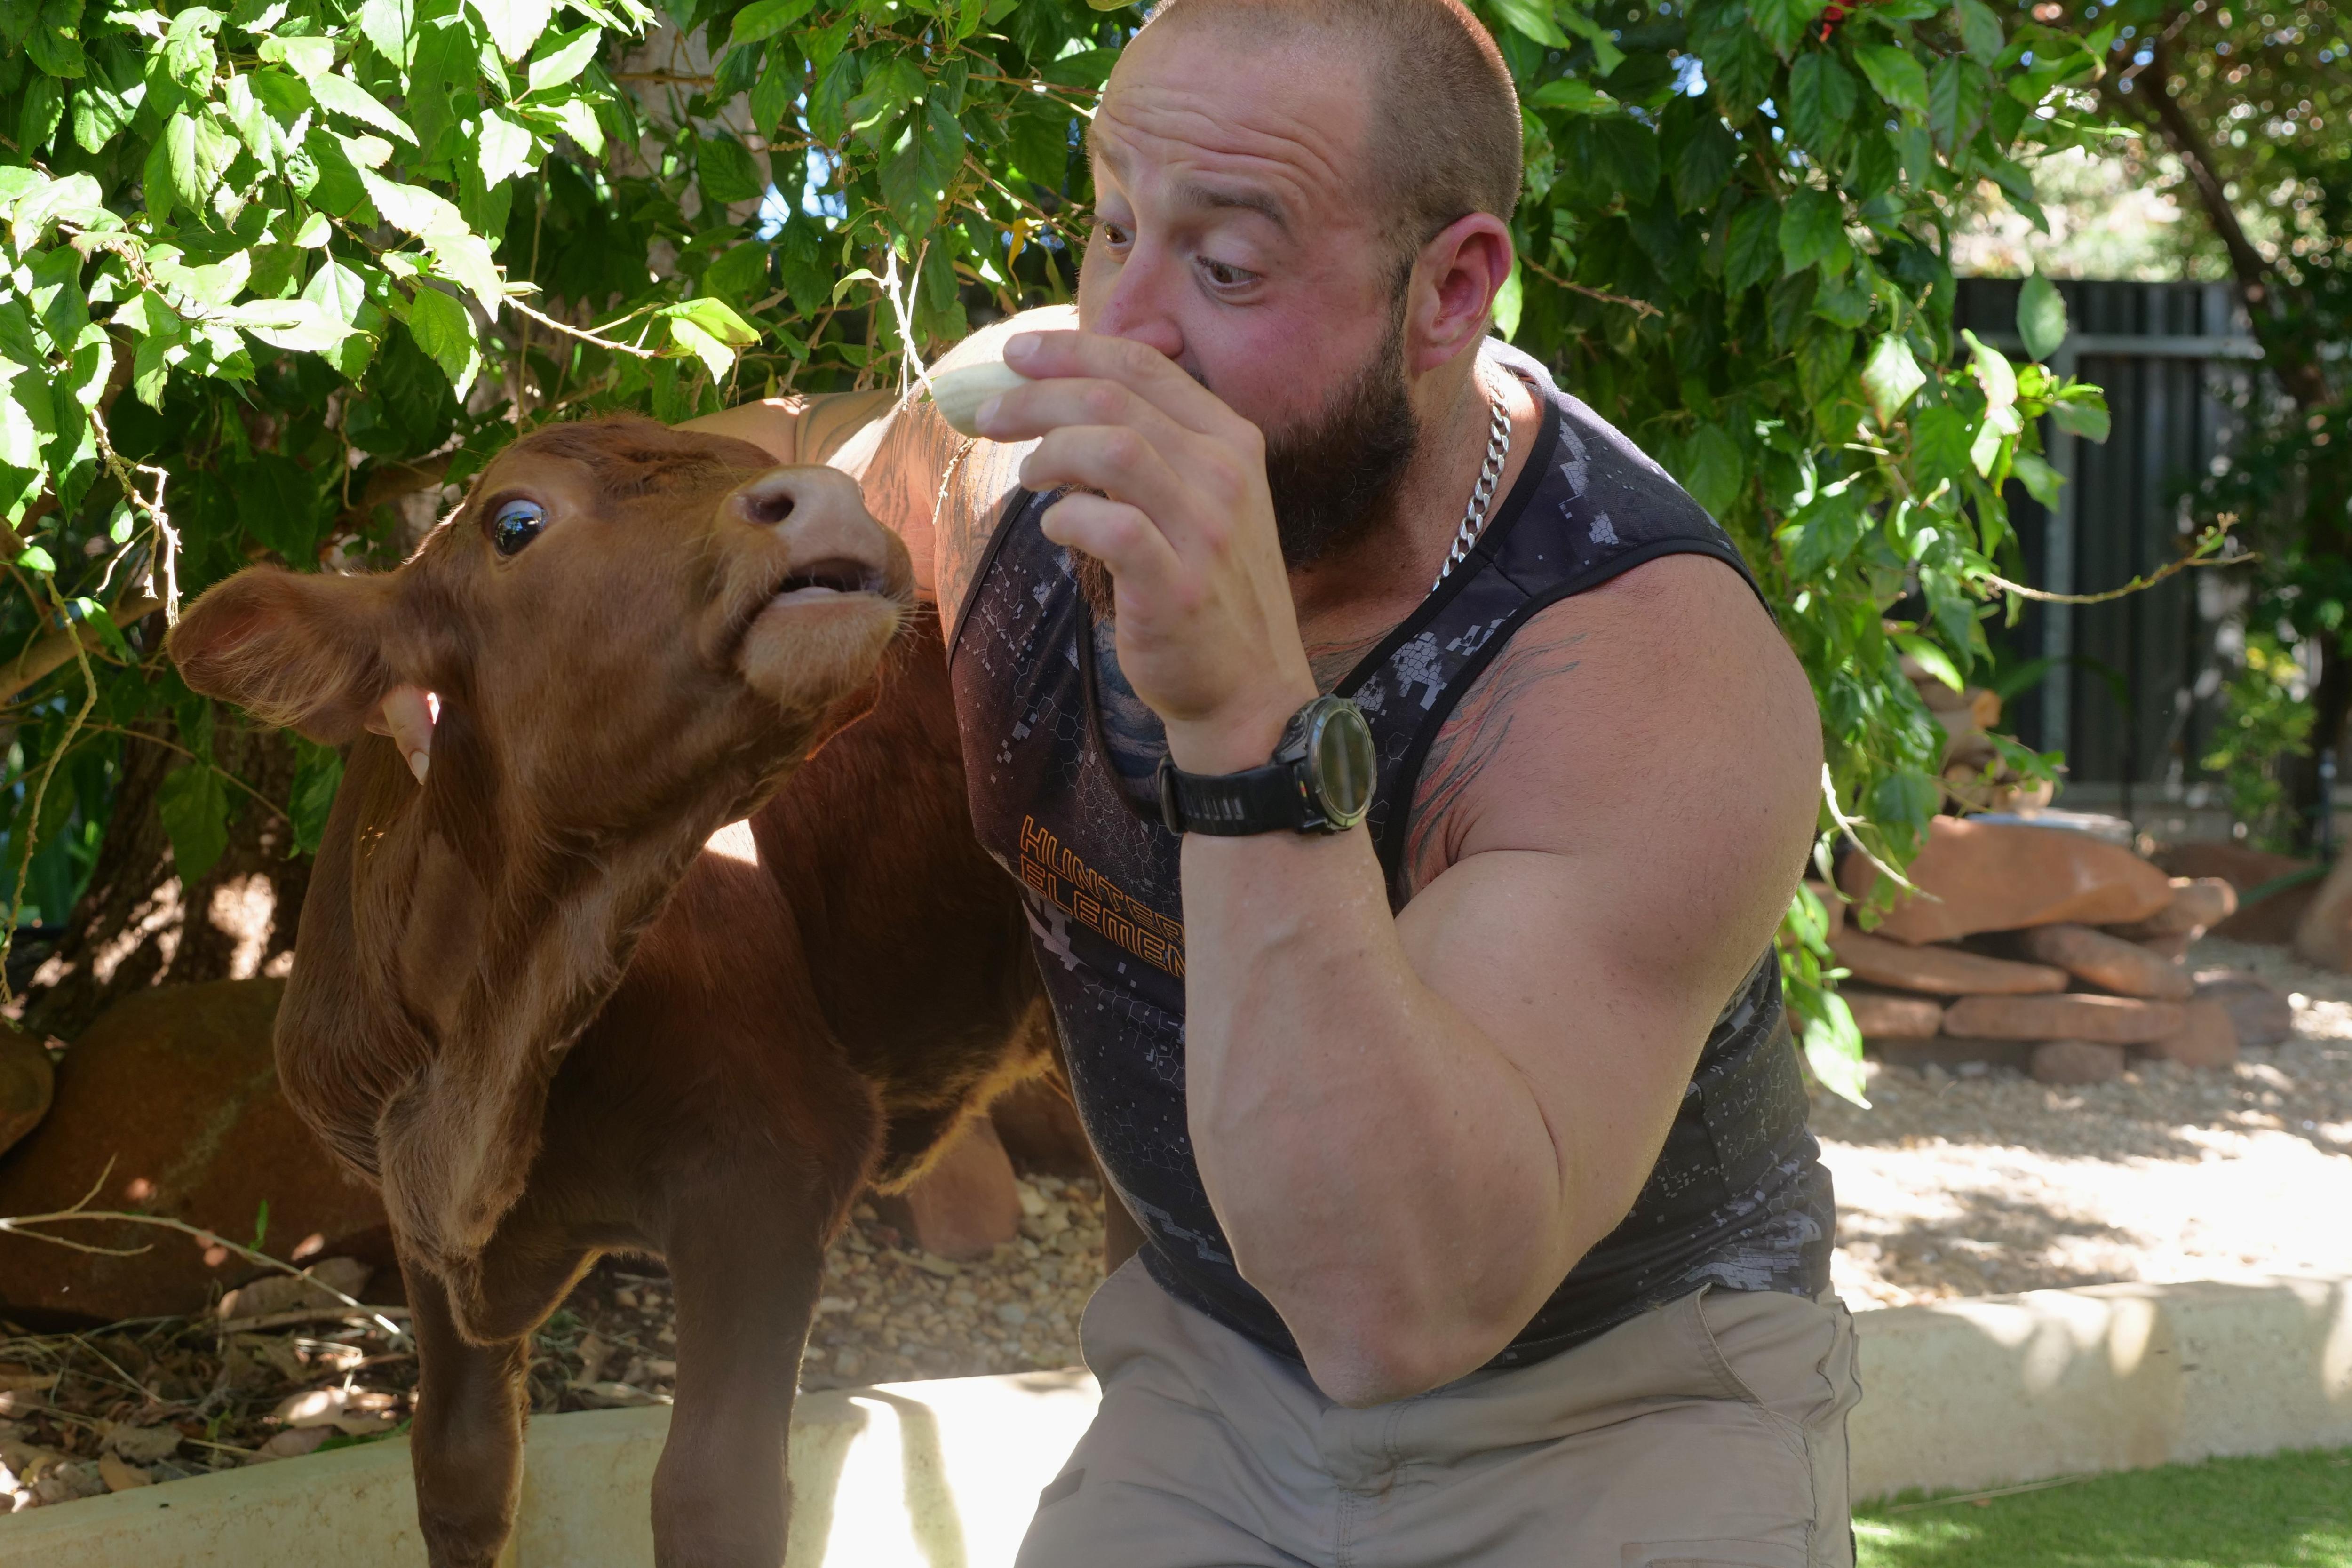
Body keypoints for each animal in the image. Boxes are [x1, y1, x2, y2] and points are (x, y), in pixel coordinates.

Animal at [168, 417, 1050, 1568]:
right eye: (515, 522)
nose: (828, 496)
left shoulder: (770, 1170)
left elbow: (715, 1496)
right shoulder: (413, 1206)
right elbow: (459, 1463)